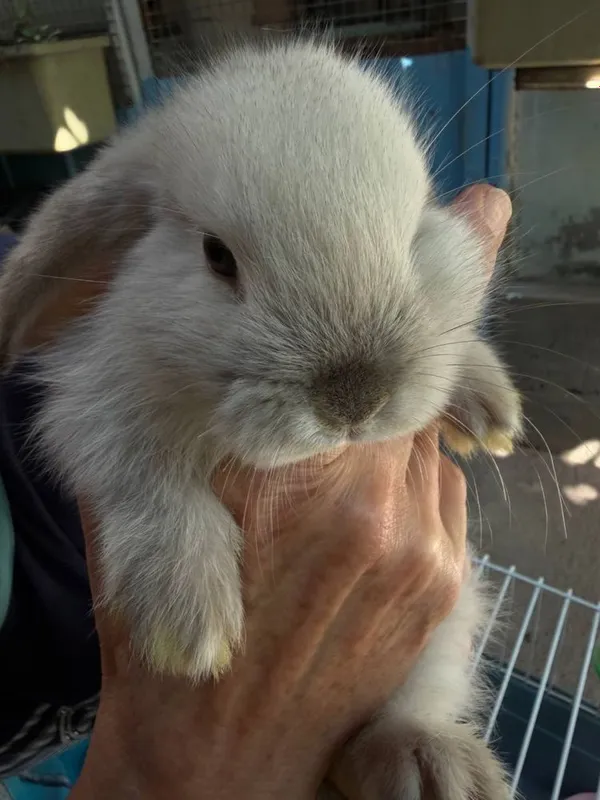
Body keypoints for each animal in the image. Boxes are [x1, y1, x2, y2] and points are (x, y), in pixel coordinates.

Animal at [0, 37, 521, 800]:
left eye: (414, 232)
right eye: (217, 256)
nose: (354, 398)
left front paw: (489, 406)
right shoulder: (92, 406)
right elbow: (150, 484)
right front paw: (187, 622)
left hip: (446, 631)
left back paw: (430, 762)